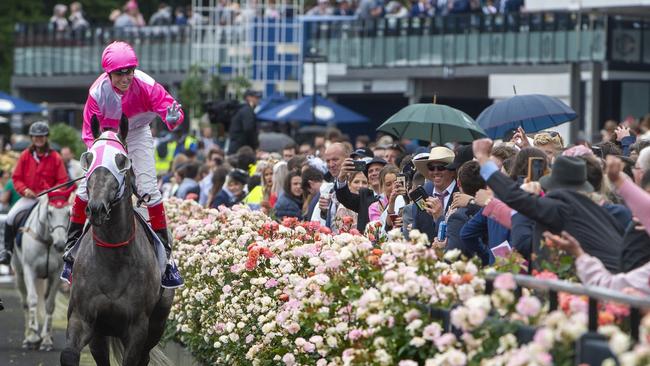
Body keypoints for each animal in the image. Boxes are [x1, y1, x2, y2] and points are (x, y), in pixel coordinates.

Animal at [11, 194, 70, 352]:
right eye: (49, 213)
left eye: (69, 213)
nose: (60, 245)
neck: (48, 241)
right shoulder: (29, 271)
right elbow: (32, 300)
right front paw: (33, 336)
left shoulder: (56, 275)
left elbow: (49, 305)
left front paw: (47, 341)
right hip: (19, 275)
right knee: (25, 302)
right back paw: (28, 338)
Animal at [59, 115, 172, 366]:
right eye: (89, 158)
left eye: (121, 160)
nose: (97, 208)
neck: (113, 258)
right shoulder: (82, 318)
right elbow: (68, 354)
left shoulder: (138, 329)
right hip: (100, 334)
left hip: (157, 324)